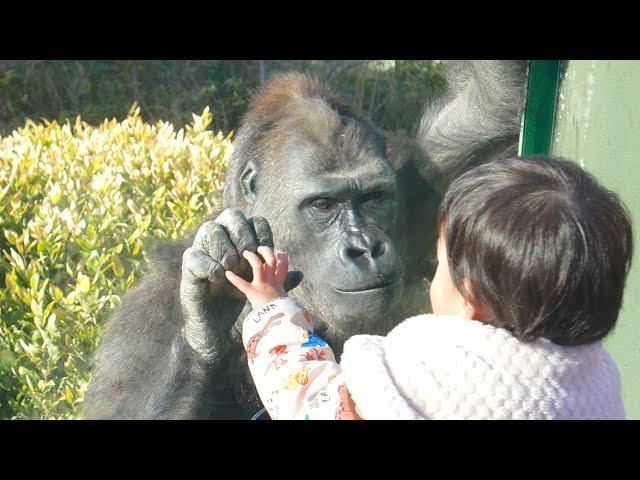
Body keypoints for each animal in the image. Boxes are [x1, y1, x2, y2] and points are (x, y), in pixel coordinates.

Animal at [84, 61, 524, 420]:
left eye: (373, 198)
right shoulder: (153, 310)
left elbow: (493, 105)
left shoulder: (422, 182)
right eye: (323, 204)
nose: (364, 248)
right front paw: (208, 316)